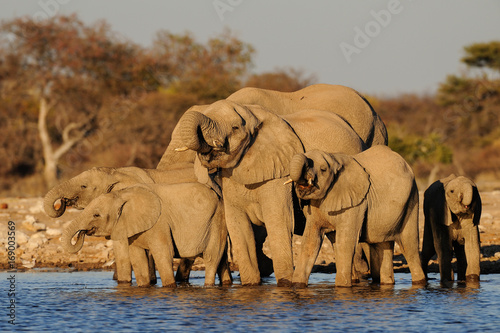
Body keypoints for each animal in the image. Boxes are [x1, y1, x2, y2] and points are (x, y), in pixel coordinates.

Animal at [174, 100, 366, 284]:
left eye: (235, 128)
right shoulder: (230, 178)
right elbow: (238, 226)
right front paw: (250, 285)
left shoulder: (278, 174)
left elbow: (279, 220)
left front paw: (285, 284)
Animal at [290, 147, 426, 286]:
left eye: (323, 169)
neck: (334, 159)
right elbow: (310, 241)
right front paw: (298, 286)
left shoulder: (356, 205)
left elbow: (345, 242)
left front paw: (342, 287)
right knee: (384, 245)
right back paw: (387, 284)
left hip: (412, 200)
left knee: (409, 247)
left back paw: (419, 283)